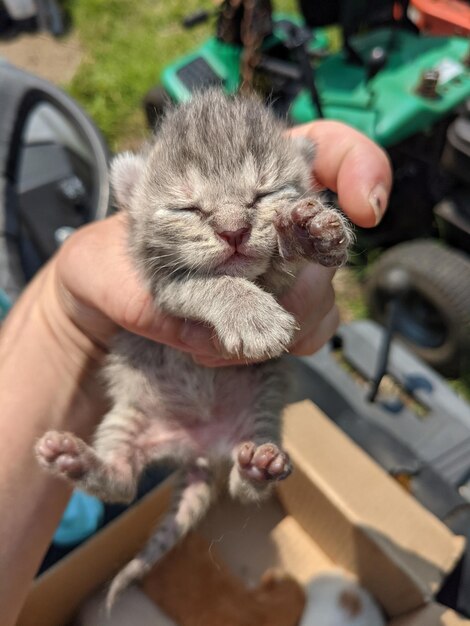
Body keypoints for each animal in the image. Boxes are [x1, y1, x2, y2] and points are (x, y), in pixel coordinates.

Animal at [36, 90, 350, 608]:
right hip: (130, 415)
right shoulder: (160, 287)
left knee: (244, 490)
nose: (233, 230)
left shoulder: (288, 284)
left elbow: (285, 262)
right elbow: (207, 284)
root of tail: (198, 450)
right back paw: (76, 459)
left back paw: (259, 468)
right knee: (123, 482)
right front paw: (252, 315)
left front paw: (305, 232)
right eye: (188, 208)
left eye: (262, 194)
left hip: (261, 407)